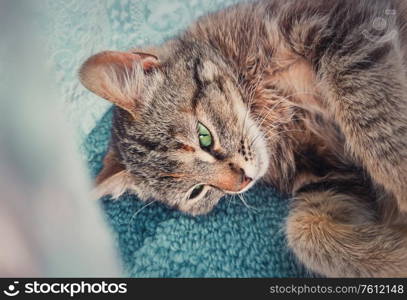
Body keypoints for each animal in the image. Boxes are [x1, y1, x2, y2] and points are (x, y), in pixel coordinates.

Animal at [79, 0, 407, 276]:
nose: (242, 182)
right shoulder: (329, 172)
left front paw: (401, 188)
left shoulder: (346, 31)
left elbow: (374, 122)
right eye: (196, 192)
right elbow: (305, 232)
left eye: (204, 137)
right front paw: (396, 253)